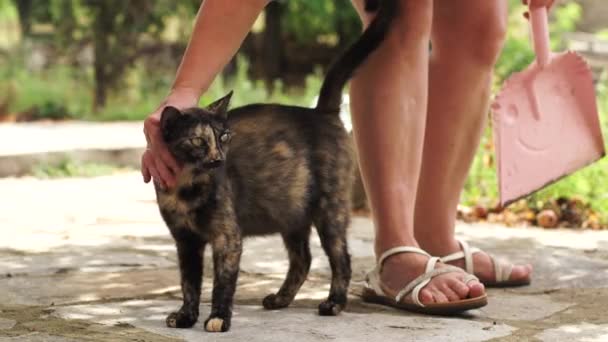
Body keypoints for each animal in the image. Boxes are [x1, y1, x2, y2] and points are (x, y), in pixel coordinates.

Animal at [154, 0, 396, 332]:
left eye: (224, 137)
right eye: (198, 141)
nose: (218, 160)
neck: (186, 188)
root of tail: (321, 112)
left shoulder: (227, 238)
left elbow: (222, 283)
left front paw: (218, 318)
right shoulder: (185, 241)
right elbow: (189, 283)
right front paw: (185, 316)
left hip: (329, 210)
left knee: (341, 258)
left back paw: (333, 303)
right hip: (292, 214)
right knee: (303, 259)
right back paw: (281, 299)